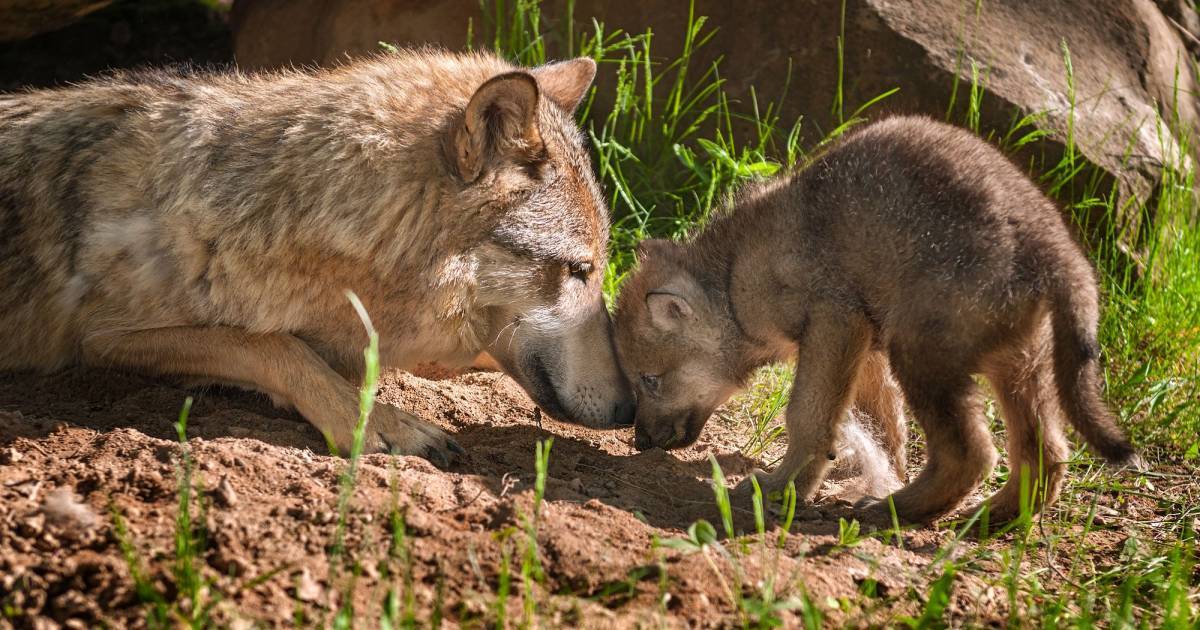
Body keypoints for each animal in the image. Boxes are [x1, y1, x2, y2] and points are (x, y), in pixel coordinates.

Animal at [0, 50, 637, 465]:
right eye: (578, 270)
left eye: (599, 269)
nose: (630, 409)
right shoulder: (104, 338)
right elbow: (272, 344)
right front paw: (381, 423)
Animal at [613, 116, 1137, 523]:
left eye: (649, 379)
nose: (639, 442)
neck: (735, 274)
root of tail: (1055, 251)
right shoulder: (864, 345)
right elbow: (885, 428)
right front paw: (874, 471)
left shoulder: (834, 322)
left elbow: (808, 417)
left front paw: (784, 489)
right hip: (1018, 368)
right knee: (1044, 456)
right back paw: (987, 518)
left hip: (922, 356)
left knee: (972, 455)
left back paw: (894, 510)